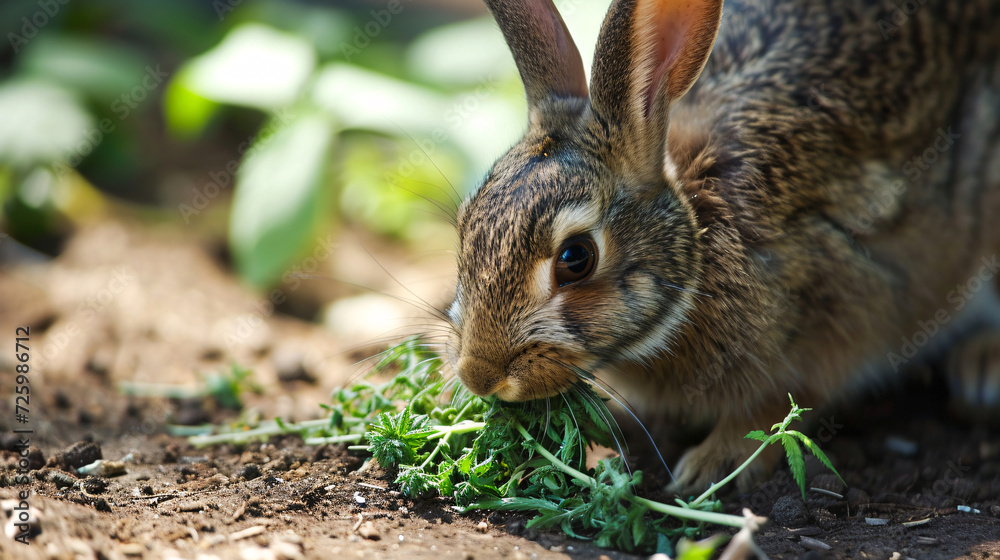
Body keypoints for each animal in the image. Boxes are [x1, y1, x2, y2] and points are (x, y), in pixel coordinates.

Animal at [445, 0, 1000, 493]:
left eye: (576, 259)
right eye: (465, 226)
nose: (478, 376)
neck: (699, 239)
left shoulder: (833, 315)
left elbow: (779, 409)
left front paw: (710, 467)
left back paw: (981, 368)